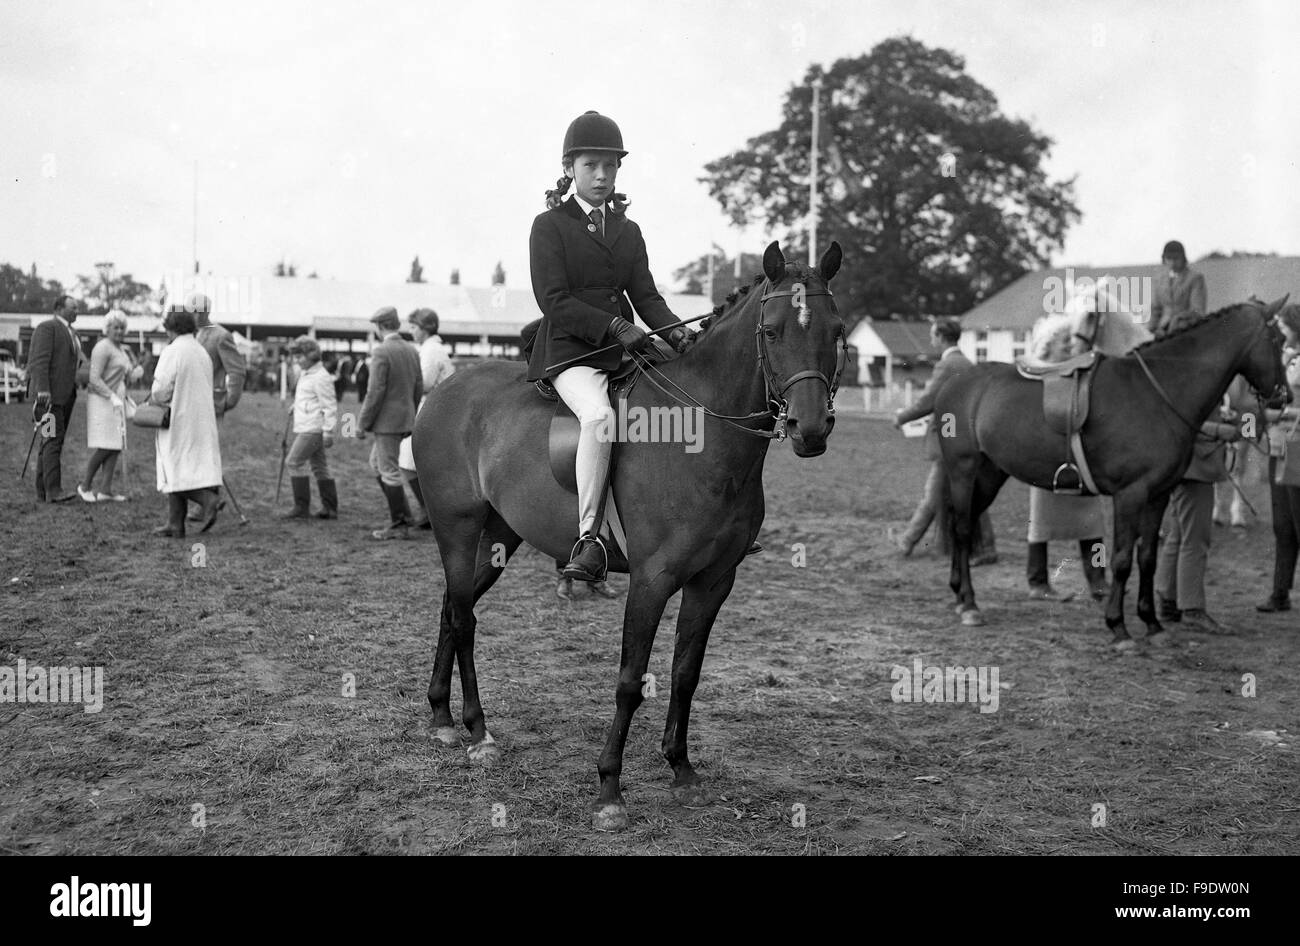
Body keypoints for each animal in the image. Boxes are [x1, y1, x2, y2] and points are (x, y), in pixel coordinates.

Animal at [410, 241, 847, 826]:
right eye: (772, 331)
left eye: (836, 331)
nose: (810, 429)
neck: (700, 436)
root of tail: (443, 391)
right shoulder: (651, 580)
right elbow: (629, 680)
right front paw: (609, 790)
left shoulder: (714, 582)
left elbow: (686, 673)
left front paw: (682, 771)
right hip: (456, 529)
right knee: (462, 619)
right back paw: (477, 733)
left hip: (498, 538)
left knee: (450, 608)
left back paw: (442, 717)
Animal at [935, 298, 1289, 647]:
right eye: (1278, 340)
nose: (1285, 396)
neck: (1156, 392)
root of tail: (957, 382)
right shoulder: (1129, 494)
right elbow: (1121, 559)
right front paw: (1118, 626)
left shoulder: (1157, 495)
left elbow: (1147, 557)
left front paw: (1152, 623)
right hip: (963, 470)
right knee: (963, 528)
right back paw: (969, 604)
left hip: (990, 475)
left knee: (962, 523)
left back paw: (958, 595)